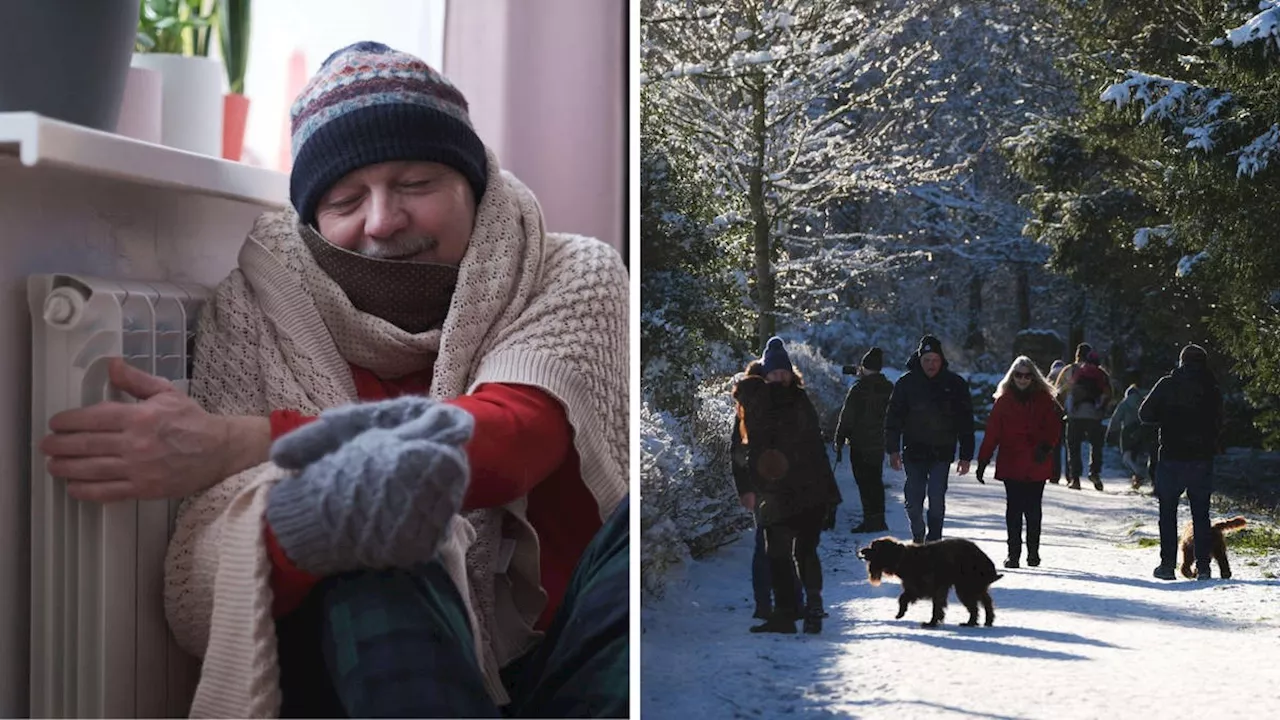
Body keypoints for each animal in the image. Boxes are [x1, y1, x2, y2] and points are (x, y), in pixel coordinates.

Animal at [855, 535, 1003, 625]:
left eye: (873, 548)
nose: (861, 550)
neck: (903, 558)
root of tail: (982, 556)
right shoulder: (917, 587)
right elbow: (904, 598)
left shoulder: (929, 587)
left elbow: (933, 605)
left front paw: (931, 623)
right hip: (974, 586)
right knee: (986, 601)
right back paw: (987, 621)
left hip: (965, 587)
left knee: (975, 606)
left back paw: (970, 623)